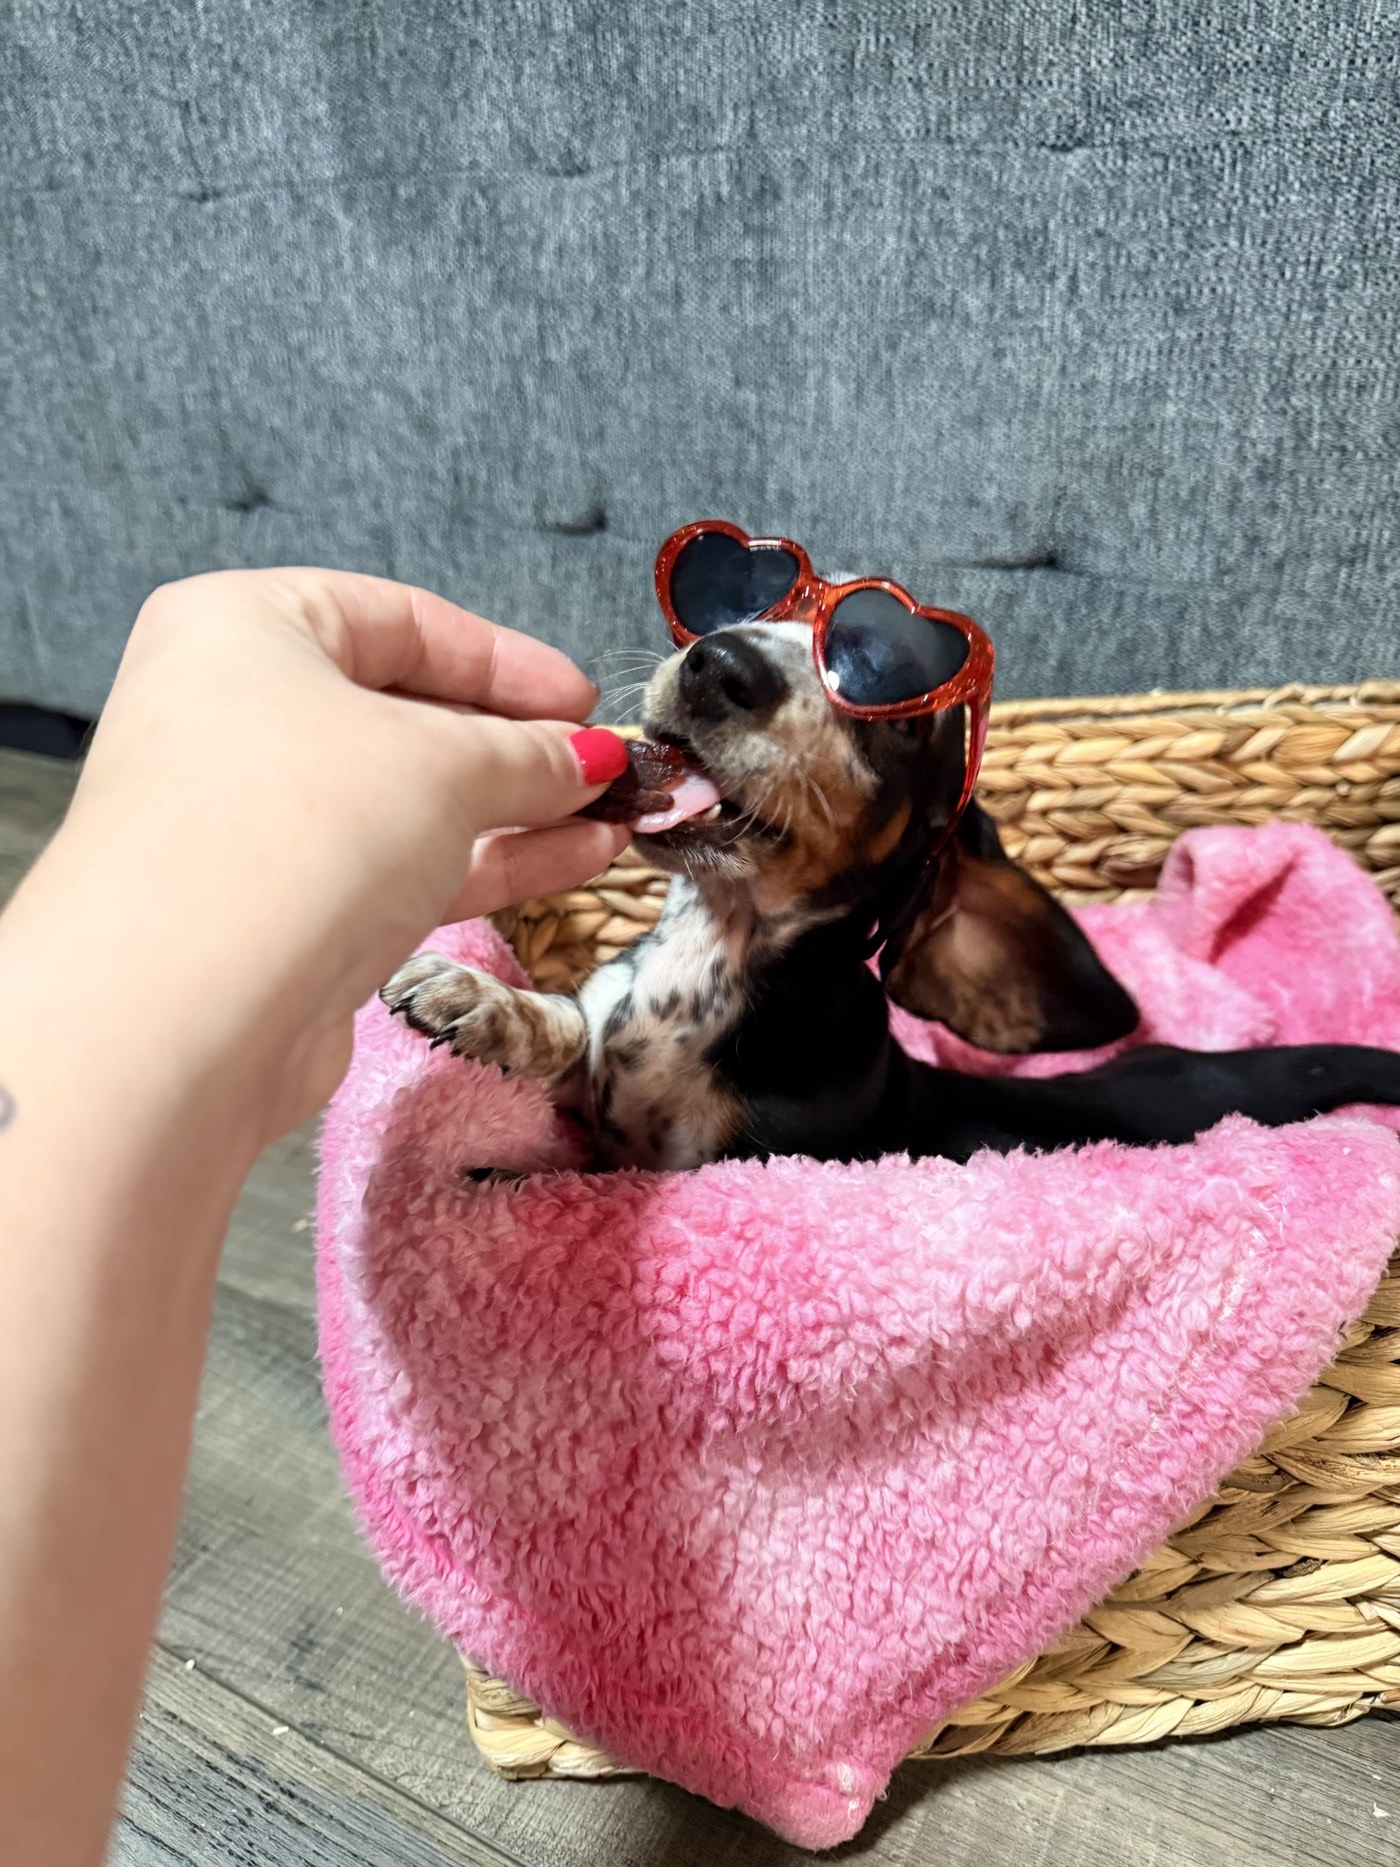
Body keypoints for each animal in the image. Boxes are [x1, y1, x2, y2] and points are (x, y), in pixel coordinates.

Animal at [383, 620, 1400, 1168]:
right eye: (767, 601)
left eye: (903, 719)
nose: (719, 660)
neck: (718, 946)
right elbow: (570, 1027)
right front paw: (477, 997)